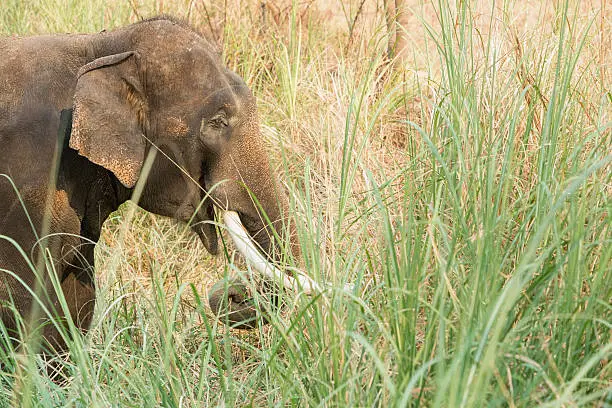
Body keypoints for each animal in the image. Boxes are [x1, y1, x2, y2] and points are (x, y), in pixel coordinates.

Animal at [0, 15, 298, 352]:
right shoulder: (27, 189)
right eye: (218, 122)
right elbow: (27, 310)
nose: (232, 293)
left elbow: (75, 308)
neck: (103, 46)